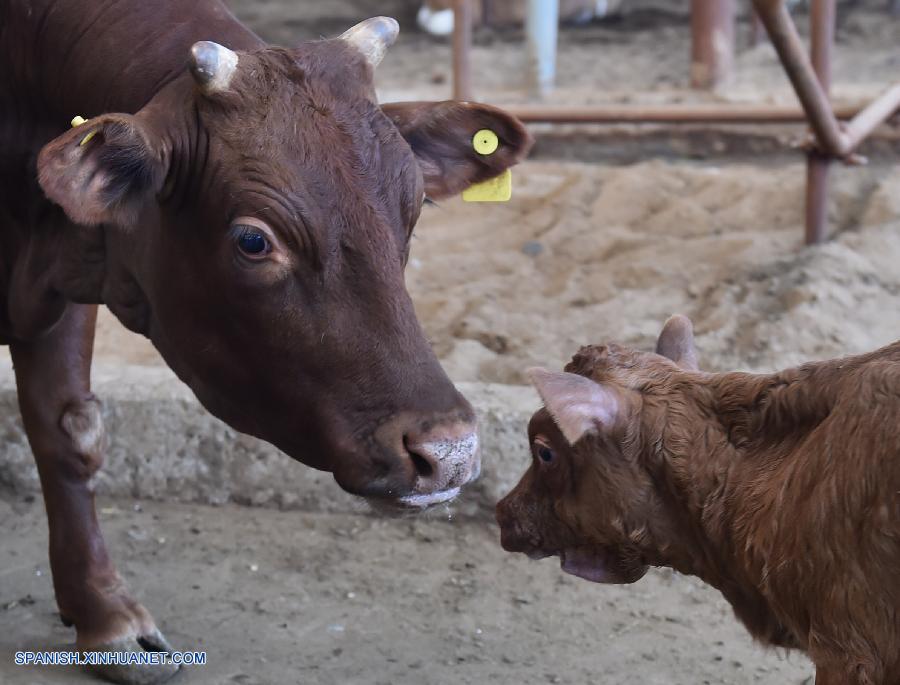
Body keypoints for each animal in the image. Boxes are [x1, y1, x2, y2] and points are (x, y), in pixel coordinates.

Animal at [0, 1, 532, 680]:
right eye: (254, 240)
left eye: (412, 211)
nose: (451, 452)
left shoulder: (64, 286)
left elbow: (70, 433)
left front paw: (102, 614)